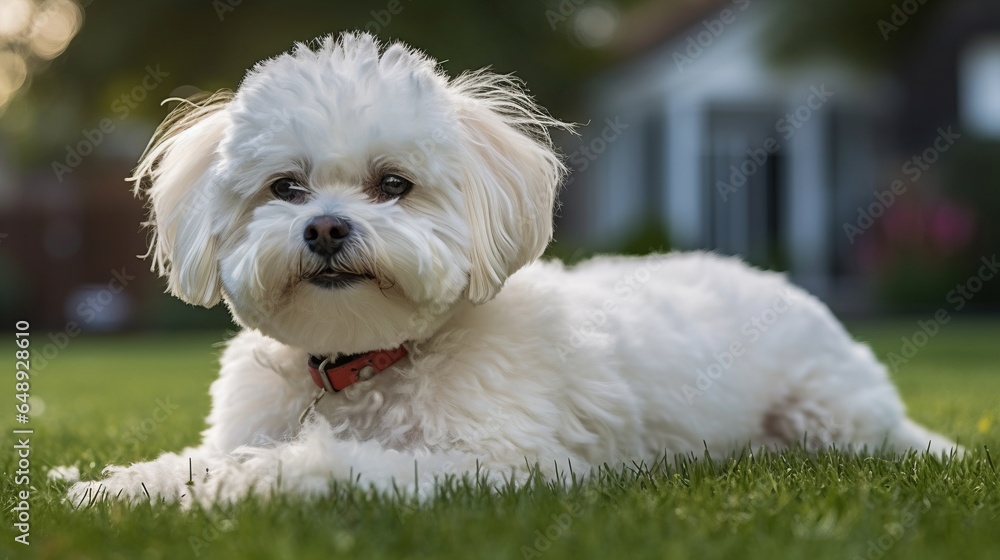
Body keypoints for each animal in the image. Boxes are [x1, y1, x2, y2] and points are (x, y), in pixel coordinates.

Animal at [66, 32, 956, 508]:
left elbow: (331, 462)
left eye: (394, 184)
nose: (324, 227)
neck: (368, 363)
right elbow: (187, 462)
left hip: (828, 412)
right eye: (286, 187)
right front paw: (121, 487)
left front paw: (255, 484)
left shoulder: (497, 467)